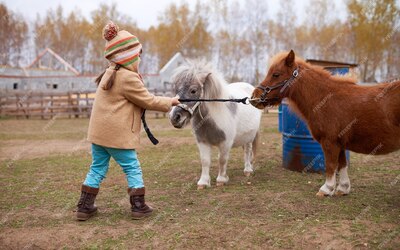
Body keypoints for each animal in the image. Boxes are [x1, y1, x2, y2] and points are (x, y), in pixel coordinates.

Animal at [252, 49, 400, 196]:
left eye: (276, 74)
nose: (255, 97)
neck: (325, 97)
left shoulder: (330, 141)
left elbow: (330, 165)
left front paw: (326, 189)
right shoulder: (340, 143)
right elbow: (342, 164)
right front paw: (343, 188)